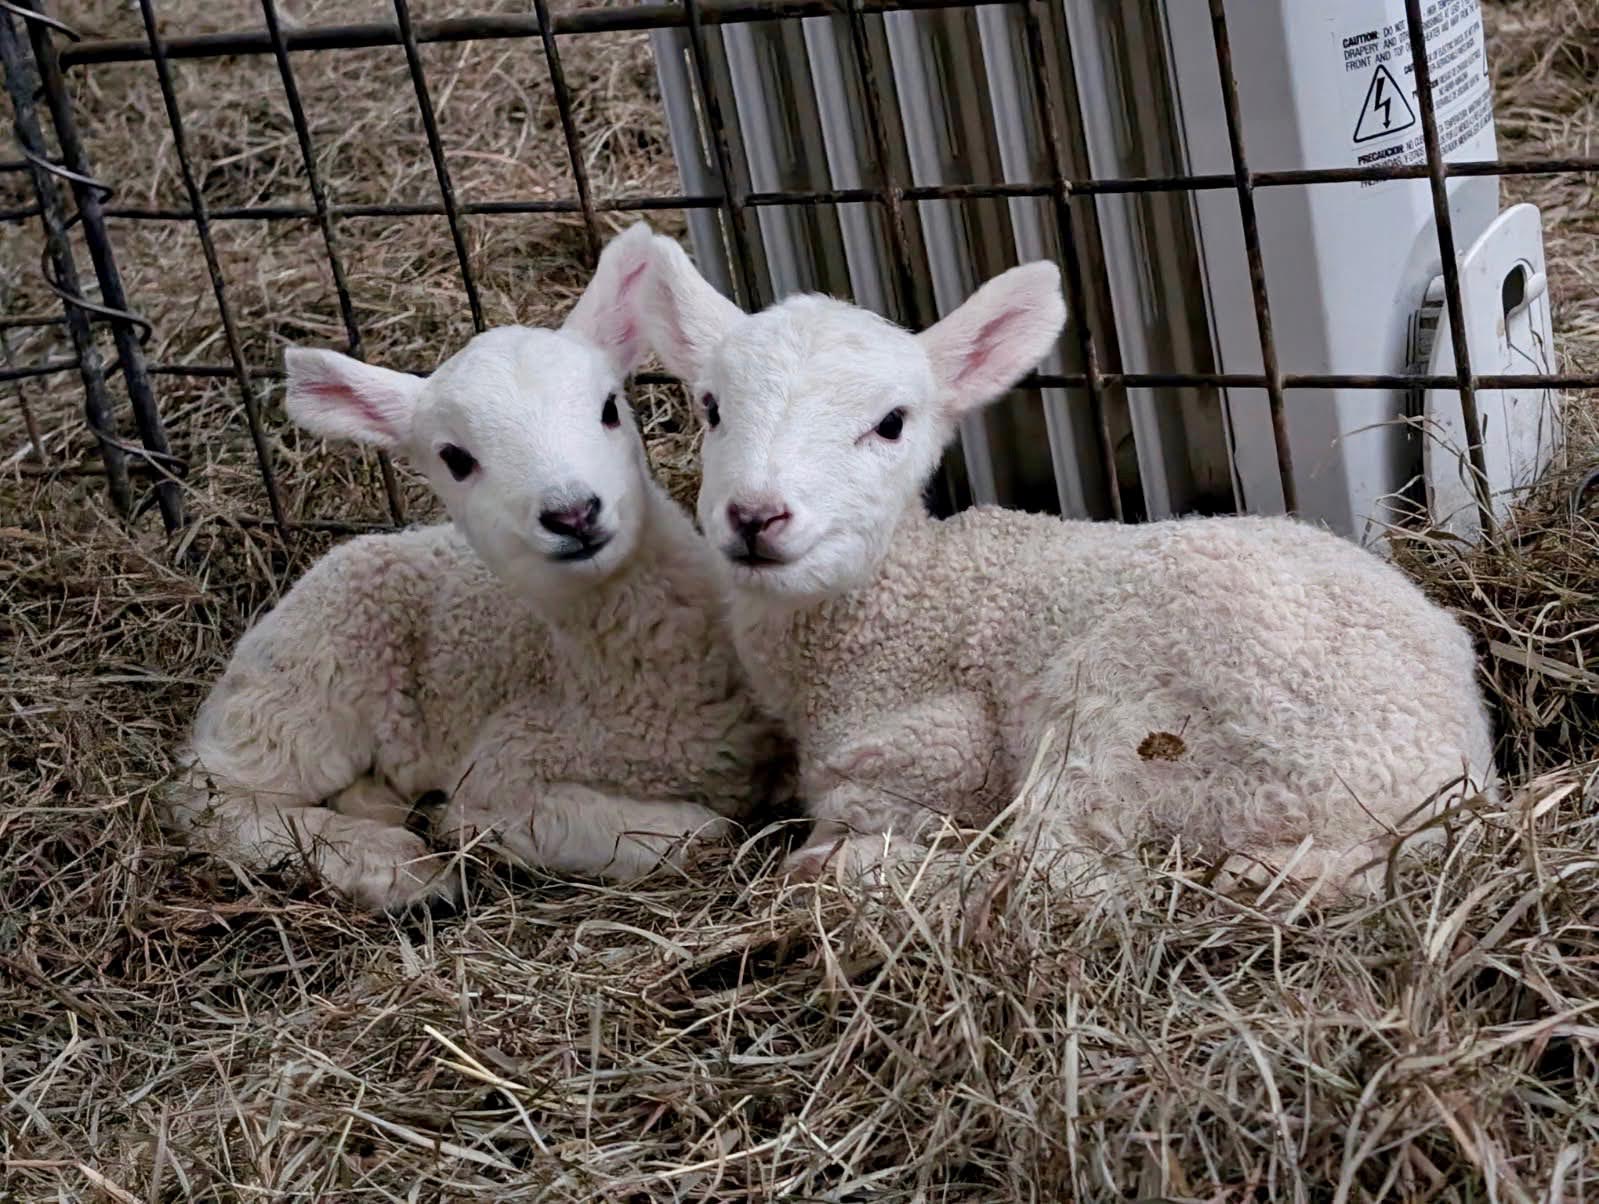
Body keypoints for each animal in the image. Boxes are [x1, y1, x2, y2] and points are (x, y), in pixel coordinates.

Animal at [163, 223, 787, 911]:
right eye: (456, 458)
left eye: (608, 408)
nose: (572, 513)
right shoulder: (505, 767)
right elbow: (699, 831)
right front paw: (446, 839)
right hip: (307, 685)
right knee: (214, 797)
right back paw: (397, 866)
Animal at [640, 232, 1498, 896]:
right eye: (711, 407)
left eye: (890, 423)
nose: (755, 515)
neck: (904, 599)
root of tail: (1434, 793)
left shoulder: (941, 750)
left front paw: (837, 847)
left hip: (1131, 711)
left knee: (1058, 875)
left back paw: (840, 871)